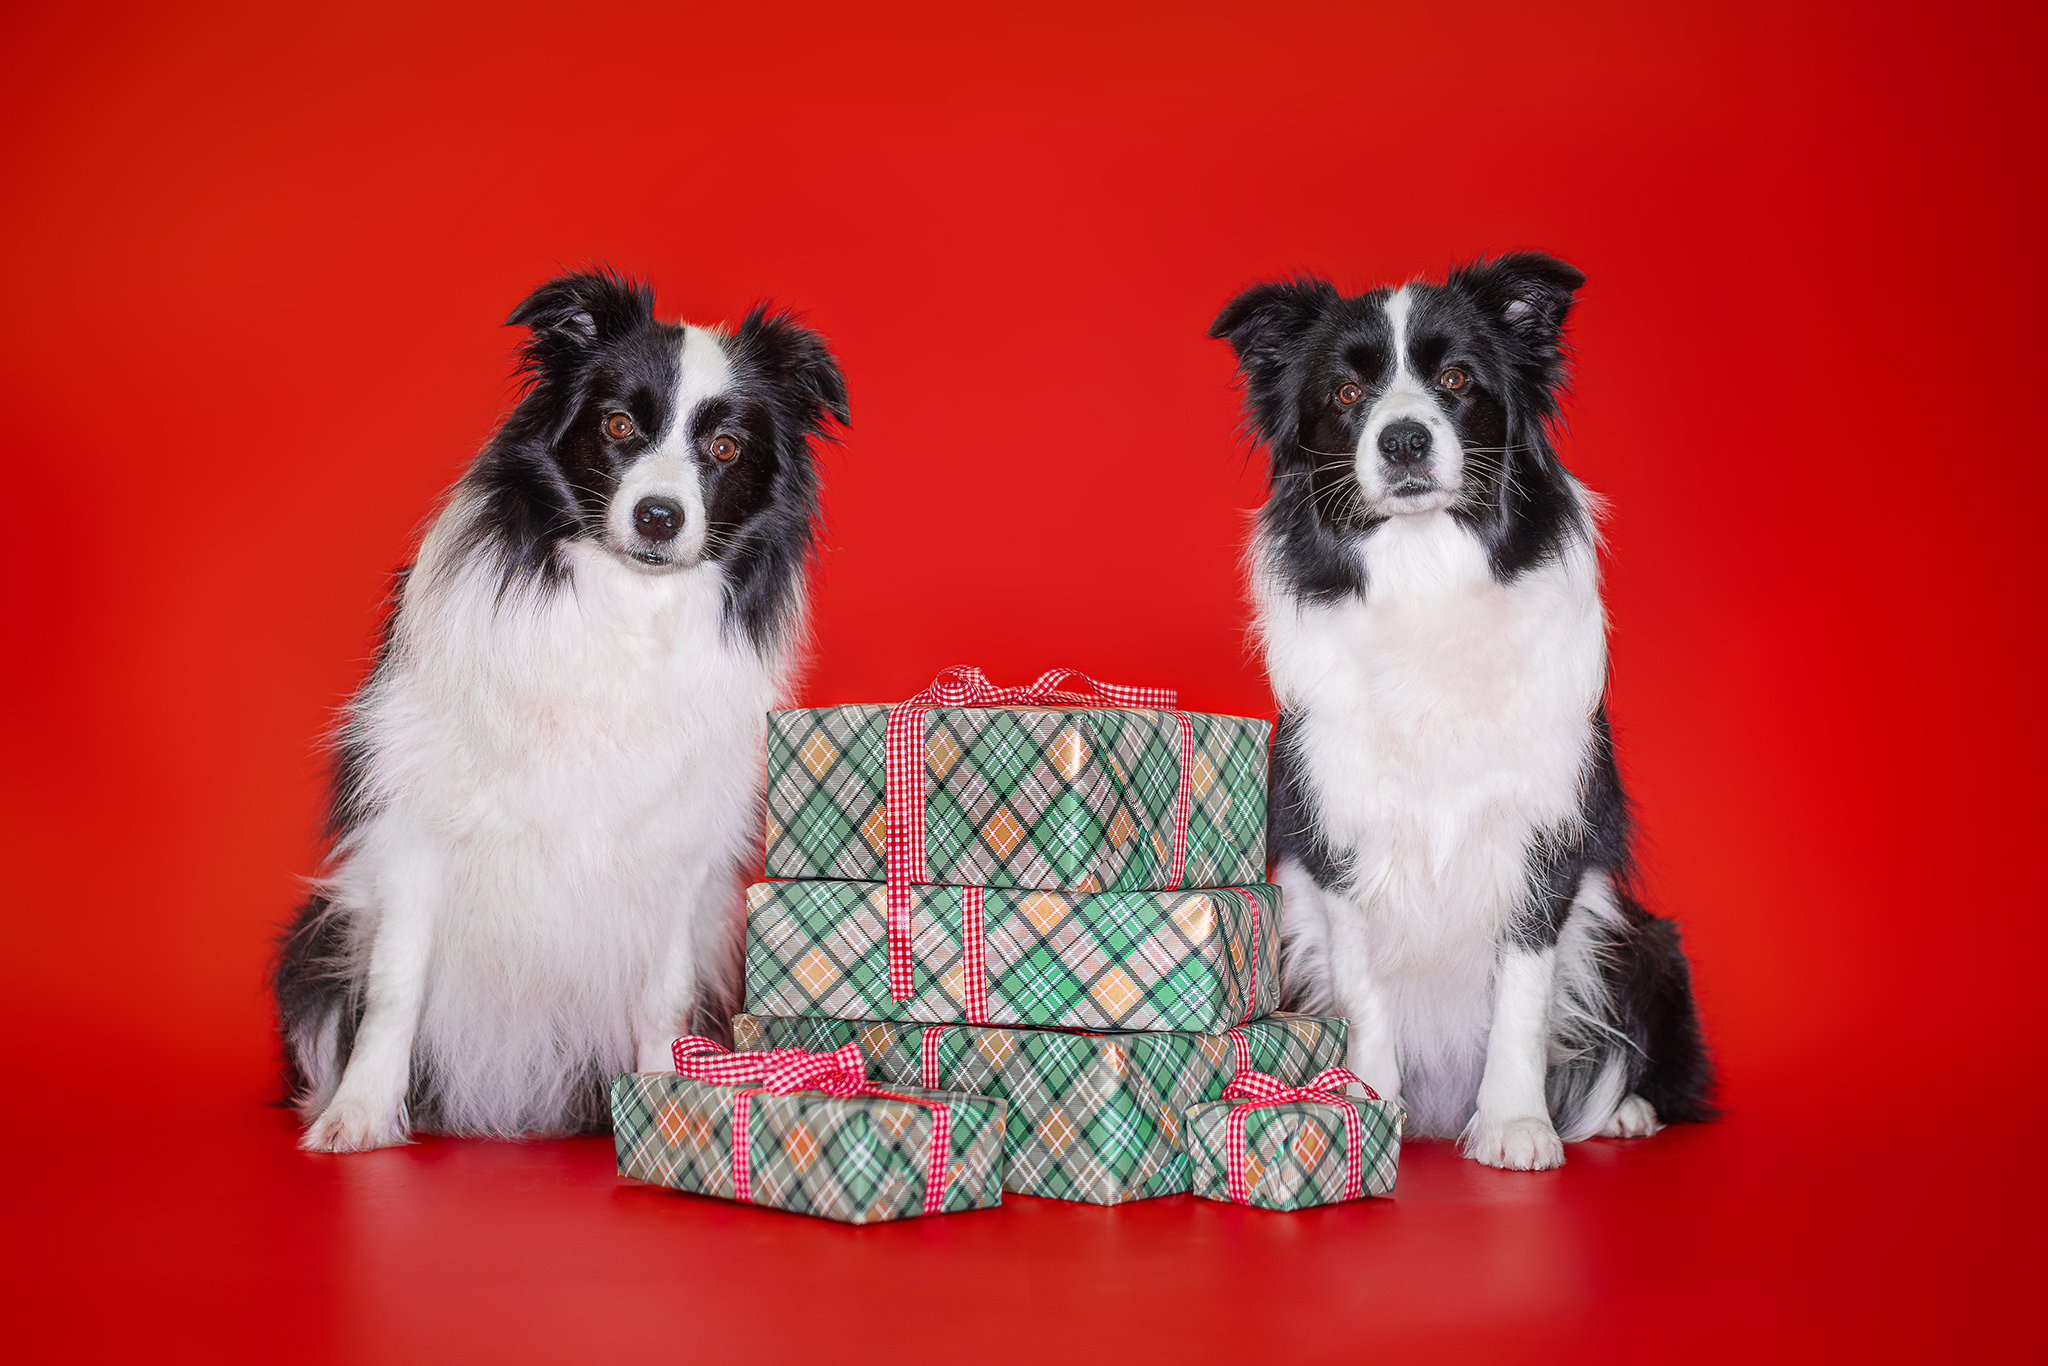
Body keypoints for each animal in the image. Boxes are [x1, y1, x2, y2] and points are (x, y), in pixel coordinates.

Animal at [274, 270, 847, 1155]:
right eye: (617, 425)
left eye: (725, 448)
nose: (658, 516)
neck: (624, 605)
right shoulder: (413, 829)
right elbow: (397, 984)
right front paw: (361, 1114)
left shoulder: (681, 848)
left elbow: (662, 996)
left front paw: (665, 1108)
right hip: (310, 940)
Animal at [1212, 255, 1712, 1179]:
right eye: (1346, 393)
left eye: (1455, 381)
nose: (1404, 440)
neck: (1425, 574)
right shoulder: (1338, 836)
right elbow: (1364, 986)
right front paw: (1368, 1105)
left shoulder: (1545, 835)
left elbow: (1523, 990)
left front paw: (1515, 1122)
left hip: (1645, 936)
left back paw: (1625, 1112)